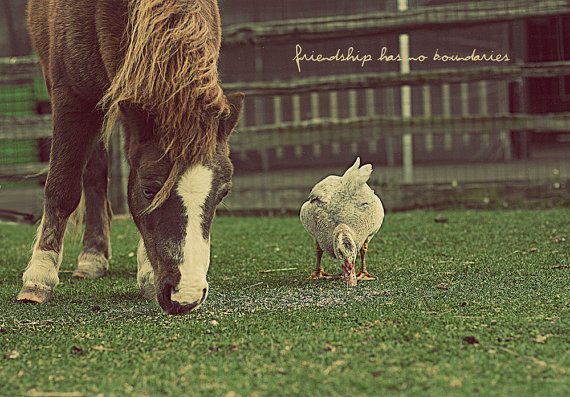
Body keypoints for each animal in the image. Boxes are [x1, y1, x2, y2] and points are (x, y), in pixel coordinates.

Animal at [16, 0, 243, 316]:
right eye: (148, 190)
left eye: (223, 194)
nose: (186, 296)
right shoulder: (72, 97)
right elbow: (63, 188)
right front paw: (39, 279)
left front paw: (147, 273)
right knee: (93, 173)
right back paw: (91, 256)